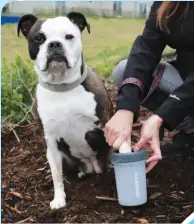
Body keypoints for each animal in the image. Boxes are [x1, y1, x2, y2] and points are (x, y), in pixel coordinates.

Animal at [17, 11, 113, 208]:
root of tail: (92, 166)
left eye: (69, 36)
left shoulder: (104, 124)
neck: (63, 87)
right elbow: (56, 176)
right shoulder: (51, 141)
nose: (54, 44)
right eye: (39, 38)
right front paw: (59, 199)